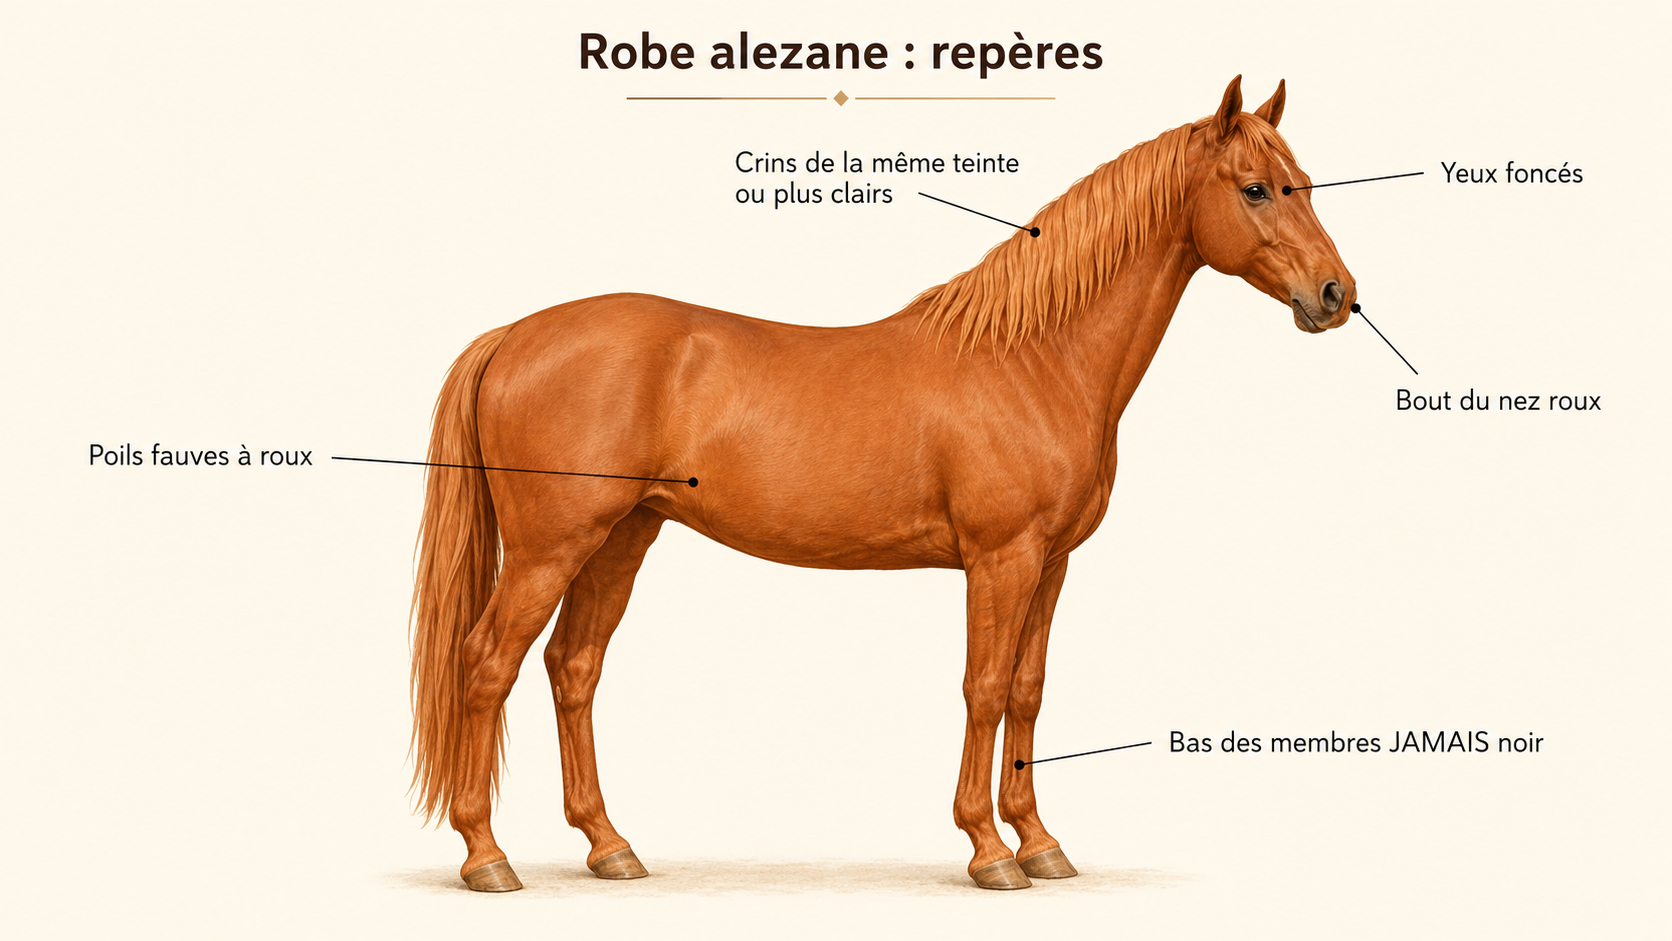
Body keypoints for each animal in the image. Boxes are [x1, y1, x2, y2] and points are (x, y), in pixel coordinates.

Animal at [408, 75, 1356, 892]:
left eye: (1304, 183)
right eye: (1257, 189)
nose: (1336, 294)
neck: (1034, 358)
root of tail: (513, 335)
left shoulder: (1051, 563)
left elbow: (1027, 690)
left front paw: (1040, 842)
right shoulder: (1001, 559)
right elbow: (983, 688)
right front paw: (988, 850)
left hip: (620, 539)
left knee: (573, 667)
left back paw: (611, 846)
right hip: (551, 547)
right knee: (487, 663)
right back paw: (487, 856)